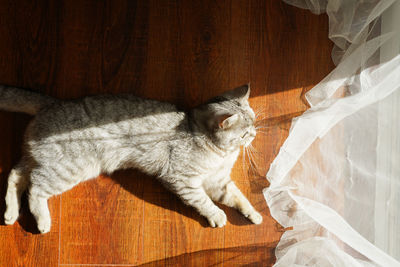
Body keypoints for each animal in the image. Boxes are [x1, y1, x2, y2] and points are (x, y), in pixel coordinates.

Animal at [1, 85, 264, 233]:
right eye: (244, 133)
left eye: (253, 122)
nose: (255, 134)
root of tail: (52, 104)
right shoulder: (183, 181)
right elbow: (204, 202)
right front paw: (217, 215)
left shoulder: (219, 182)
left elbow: (238, 197)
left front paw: (254, 214)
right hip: (66, 170)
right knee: (34, 189)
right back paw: (42, 221)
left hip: (39, 159)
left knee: (15, 175)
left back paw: (11, 212)